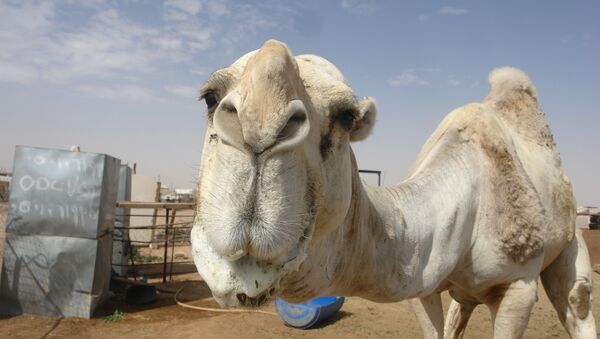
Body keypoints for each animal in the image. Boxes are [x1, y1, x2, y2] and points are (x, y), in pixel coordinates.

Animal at [191, 41, 596, 338]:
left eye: (346, 116)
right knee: (462, 310)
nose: (258, 128)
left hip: (569, 242)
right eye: (210, 97)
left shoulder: (518, 285)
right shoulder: (425, 284)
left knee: (578, 299)